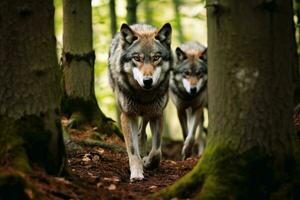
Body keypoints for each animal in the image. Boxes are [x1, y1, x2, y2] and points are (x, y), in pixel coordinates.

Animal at [108, 22, 173, 180]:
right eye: (137, 58)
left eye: (156, 58)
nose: (147, 81)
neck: (144, 95)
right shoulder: (127, 115)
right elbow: (132, 148)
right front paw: (136, 173)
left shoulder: (157, 114)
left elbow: (156, 151)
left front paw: (148, 162)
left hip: (148, 113)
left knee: (142, 132)